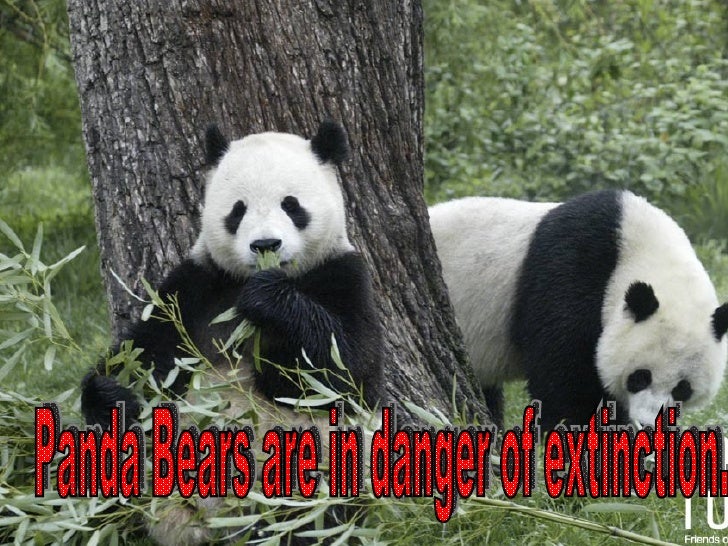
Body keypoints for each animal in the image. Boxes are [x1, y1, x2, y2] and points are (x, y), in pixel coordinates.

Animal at [81, 120, 383, 544]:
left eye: (291, 205)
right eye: (238, 210)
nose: (266, 244)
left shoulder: (344, 276)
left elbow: (344, 372)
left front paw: (269, 302)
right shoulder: (194, 289)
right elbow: (144, 353)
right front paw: (111, 394)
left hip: (318, 478)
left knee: (318, 520)